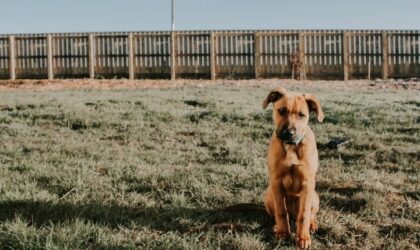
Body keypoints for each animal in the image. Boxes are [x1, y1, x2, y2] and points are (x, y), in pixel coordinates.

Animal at [262, 87, 324, 249]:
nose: (288, 134)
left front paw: (303, 238)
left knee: (309, 215)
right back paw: (276, 226)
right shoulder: (276, 182)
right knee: (279, 214)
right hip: (268, 194)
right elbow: (281, 212)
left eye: (302, 115)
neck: (290, 147)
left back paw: (312, 225)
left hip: (314, 196)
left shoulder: (307, 184)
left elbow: (304, 215)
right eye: (281, 111)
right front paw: (283, 233)